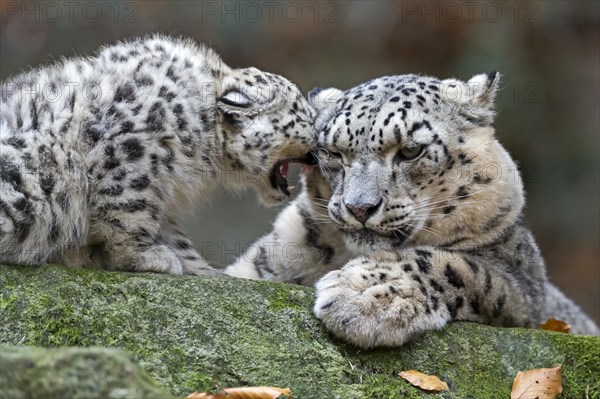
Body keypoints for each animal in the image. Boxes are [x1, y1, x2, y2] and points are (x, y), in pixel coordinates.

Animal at [0, 35, 316, 276]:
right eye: (305, 117)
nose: (317, 154)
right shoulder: (133, 151)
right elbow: (128, 208)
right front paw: (145, 257)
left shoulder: (164, 192)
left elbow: (175, 236)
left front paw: (204, 270)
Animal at [226, 73, 600, 348]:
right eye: (332, 153)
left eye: (410, 151)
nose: (359, 207)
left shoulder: (522, 284)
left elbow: (453, 265)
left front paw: (362, 295)